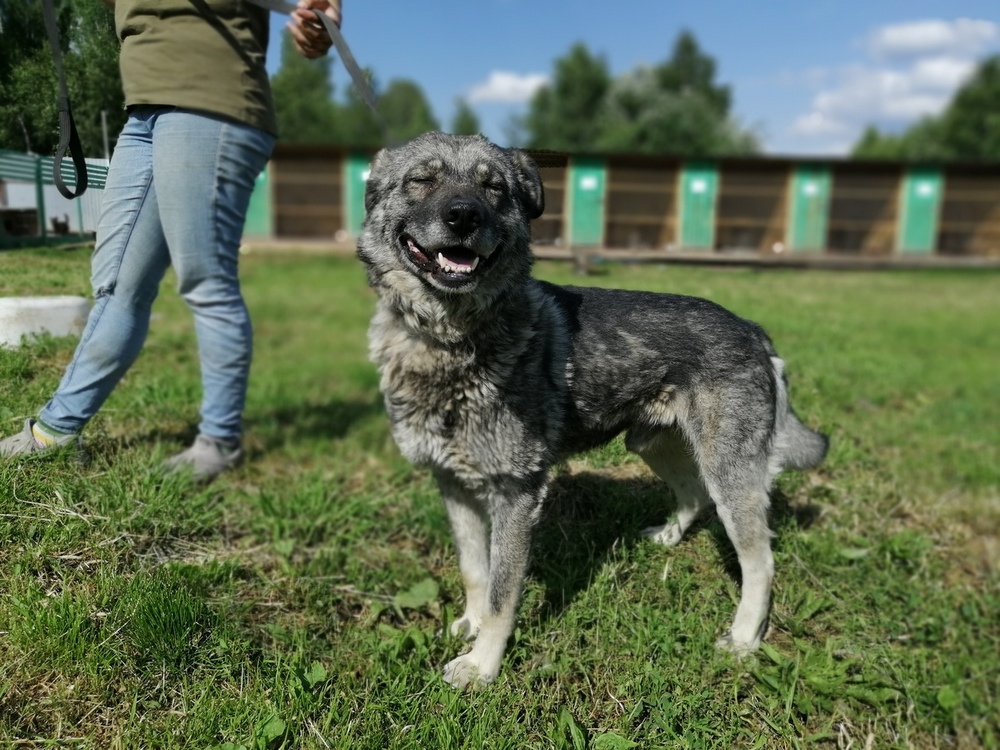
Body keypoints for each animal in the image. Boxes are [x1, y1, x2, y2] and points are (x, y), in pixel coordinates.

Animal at [357, 132, 828, 689]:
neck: (447, 342)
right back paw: (667, 538)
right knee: (693, 495)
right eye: (421, 180)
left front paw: (482, 665)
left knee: (761, 561)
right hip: (652, 444)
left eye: (494, 189)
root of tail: (754, 331)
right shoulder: (453, 484)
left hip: (730, 474)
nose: (464, 216)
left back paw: (743, 640)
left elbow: (501, 594)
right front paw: (468, 626)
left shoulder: (516, 495)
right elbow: (475, 571)